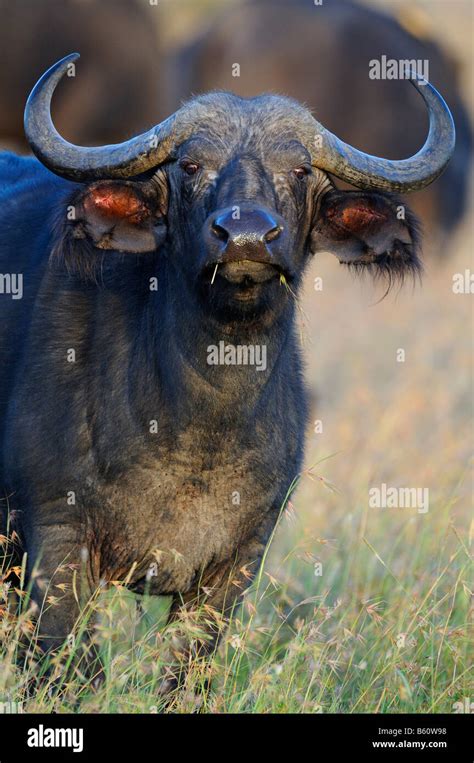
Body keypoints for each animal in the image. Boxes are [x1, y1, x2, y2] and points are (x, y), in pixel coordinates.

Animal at [0, 53, 456, 692]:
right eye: (191, 165)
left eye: (299, 170)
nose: (245, 237)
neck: (192, 429)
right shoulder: (53, 537)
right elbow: (69, 666)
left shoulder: (237, 562)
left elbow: (187, 673)